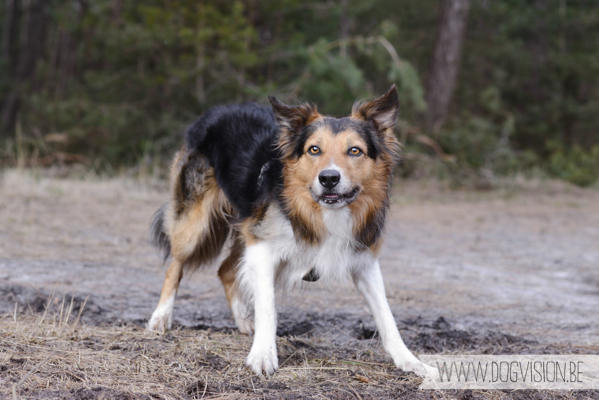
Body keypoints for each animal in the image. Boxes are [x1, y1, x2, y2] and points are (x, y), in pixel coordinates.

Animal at [149, 86, 432, 376]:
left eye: (355, 150)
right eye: (314, 149)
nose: (329, 178)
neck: (320, 212)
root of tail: (216, 110)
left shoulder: (364, 261)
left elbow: (386, 316)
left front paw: (411, 362)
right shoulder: (262, 250)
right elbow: (267, 306)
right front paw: (263, 355)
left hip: (248, 225)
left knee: (225, 269)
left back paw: (243, 322)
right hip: (195, 225)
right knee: (176, 265)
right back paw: (160, 317)